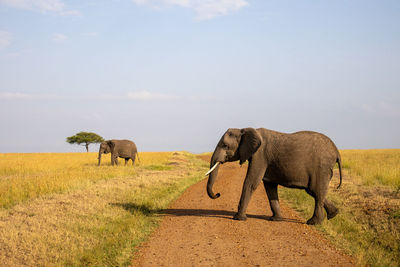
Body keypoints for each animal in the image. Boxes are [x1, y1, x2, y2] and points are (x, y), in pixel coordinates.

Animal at [205, 129, 342, 225]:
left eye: (225, 145)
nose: (218, 194)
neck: (244, 129)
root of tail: (336, 151)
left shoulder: (260, 155)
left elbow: (251, 182)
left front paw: (238, 218)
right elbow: (269, 186)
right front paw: (276, 219)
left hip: (321, 167)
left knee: (316, 191)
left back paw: (313, 223)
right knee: (313, 191)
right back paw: (334, 214)